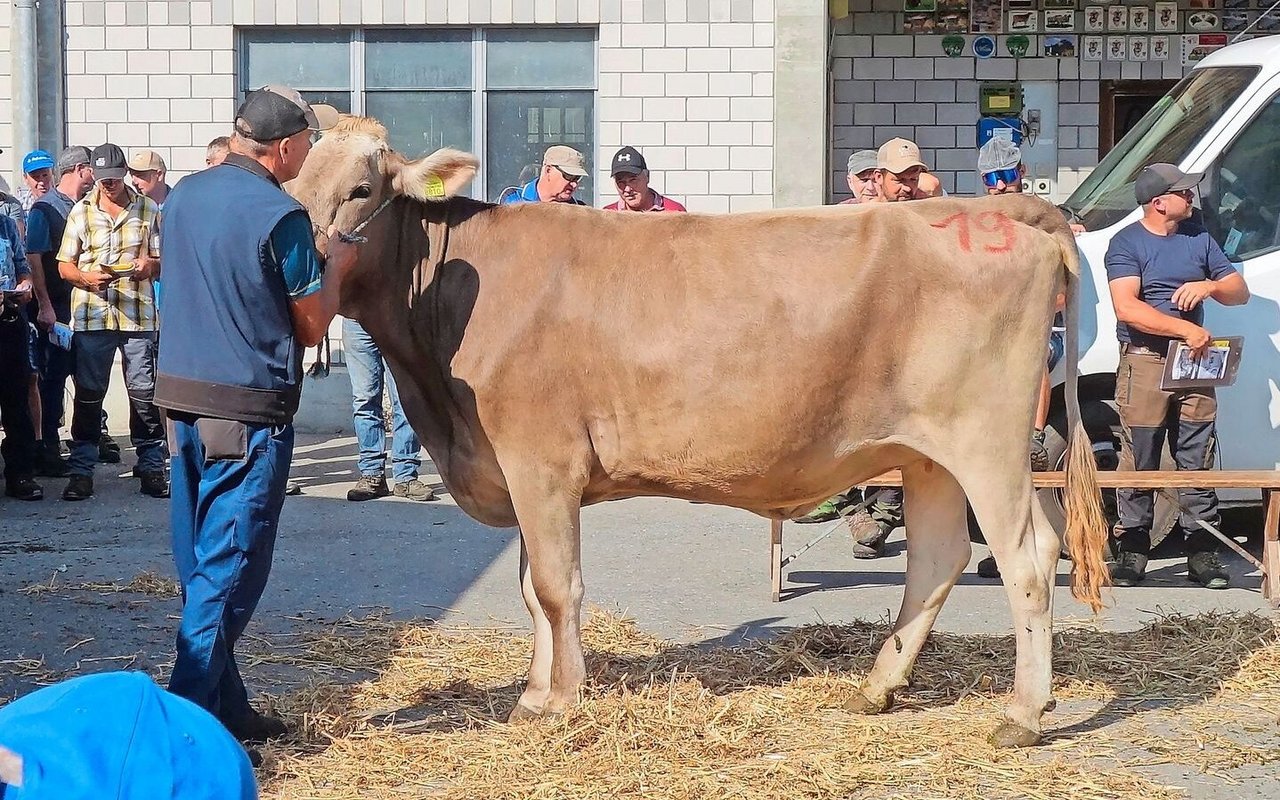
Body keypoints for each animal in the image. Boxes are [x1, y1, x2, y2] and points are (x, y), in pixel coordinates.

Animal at [290, 118, 1111, 747]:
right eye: (294, 175)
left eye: (363, 189)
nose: (293, 250)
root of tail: (1007, 214)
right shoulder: (518, 469)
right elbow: (529, 588)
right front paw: (534, 691)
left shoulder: (541, 460)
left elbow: (555, 586)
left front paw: (558, 699)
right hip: (925, 453)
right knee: (938, 558)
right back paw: (877, 686)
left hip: (986, 444)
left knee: (1029, 558)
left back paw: (1023, 715)